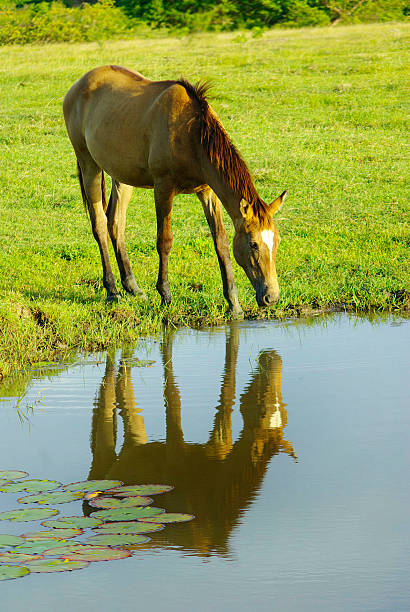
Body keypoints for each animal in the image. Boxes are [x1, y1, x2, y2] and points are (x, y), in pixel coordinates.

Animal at [63, 65, 286, 316]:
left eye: (277, 241)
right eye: (253, 244)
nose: (271, 297)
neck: (191, 133)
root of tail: (78, 85)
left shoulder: (208, 192)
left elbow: (220, 242)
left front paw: (234, 303)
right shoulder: (163, 187)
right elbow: (165, 240)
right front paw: (165, 296)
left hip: (121, 177)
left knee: (115, 223)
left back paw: (132, 287)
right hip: (88, 164)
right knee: (100, 225)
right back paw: (112, 290)